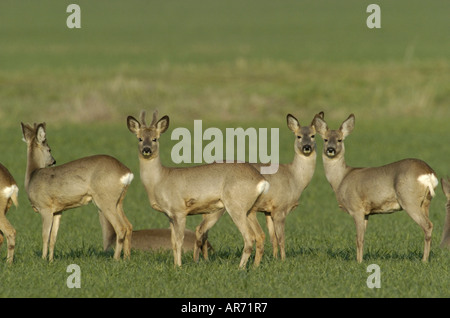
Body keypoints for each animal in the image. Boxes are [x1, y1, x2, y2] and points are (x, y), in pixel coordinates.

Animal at [21, 121, 134, 260]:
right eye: (49, 149)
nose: (54, 161)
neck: (32, 176)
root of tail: (126, 172)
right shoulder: (58, 211)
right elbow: (53, 237)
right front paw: (51, 260)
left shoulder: (45, 208)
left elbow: (45, 236)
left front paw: (43, 260)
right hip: (118, 201)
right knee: (129, 226)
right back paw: (126, 258)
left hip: (105, 200)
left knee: (121, 227)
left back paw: (116, 259)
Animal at [125, 110, 268, 268]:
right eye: (139, 138)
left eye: (155, 139)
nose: (146, 149)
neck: (159, 180)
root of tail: (261, 180)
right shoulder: (170, 215)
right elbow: (173, 242)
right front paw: (175, 266)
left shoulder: (180, 210)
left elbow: (179, 241)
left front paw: (179, 266)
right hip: (250, 209)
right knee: (260, 235)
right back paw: (254, 267)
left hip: (236, 205)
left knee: (249, 236)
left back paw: (240, 268)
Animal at [251, 113, 322, 260]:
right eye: (298, 136)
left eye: (313, 135)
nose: (307, 147)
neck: (294, 178)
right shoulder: (280, 208)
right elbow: (281, 238)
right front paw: (283, 259)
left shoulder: (268, 210)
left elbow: (273, 238)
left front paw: (274, 258)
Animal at [314, 113, 438, 262]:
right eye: (325, 139)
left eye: (339, 139)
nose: (330, 149)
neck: (341, 179)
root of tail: (428, 172)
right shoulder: (366, 213)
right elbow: (362, 238)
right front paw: (360, 259)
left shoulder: (356, 208)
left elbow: (358, 239)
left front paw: (359, 262)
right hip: (426, 202)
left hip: (409, 200)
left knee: (428, 225)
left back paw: (423, 260)